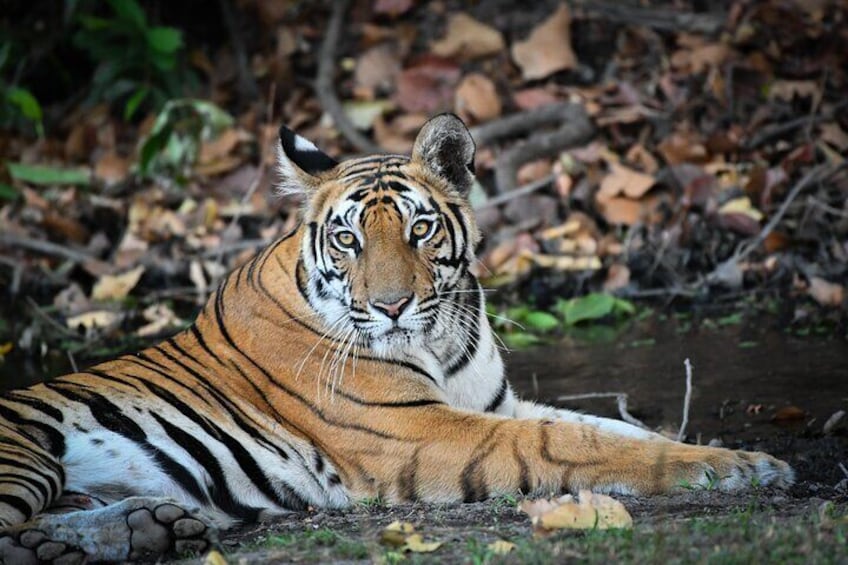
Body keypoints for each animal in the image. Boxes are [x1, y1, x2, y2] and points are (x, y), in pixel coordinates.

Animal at [0, 112, 796, 560]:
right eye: (348, 238)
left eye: (419, 228)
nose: (390, 307)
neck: (440, 336)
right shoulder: (427, 431)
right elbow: (574, 445)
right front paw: (742, 468)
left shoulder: (499, 404)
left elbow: (617, 429)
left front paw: (732, 456)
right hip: (25, 454)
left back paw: (150, 528)